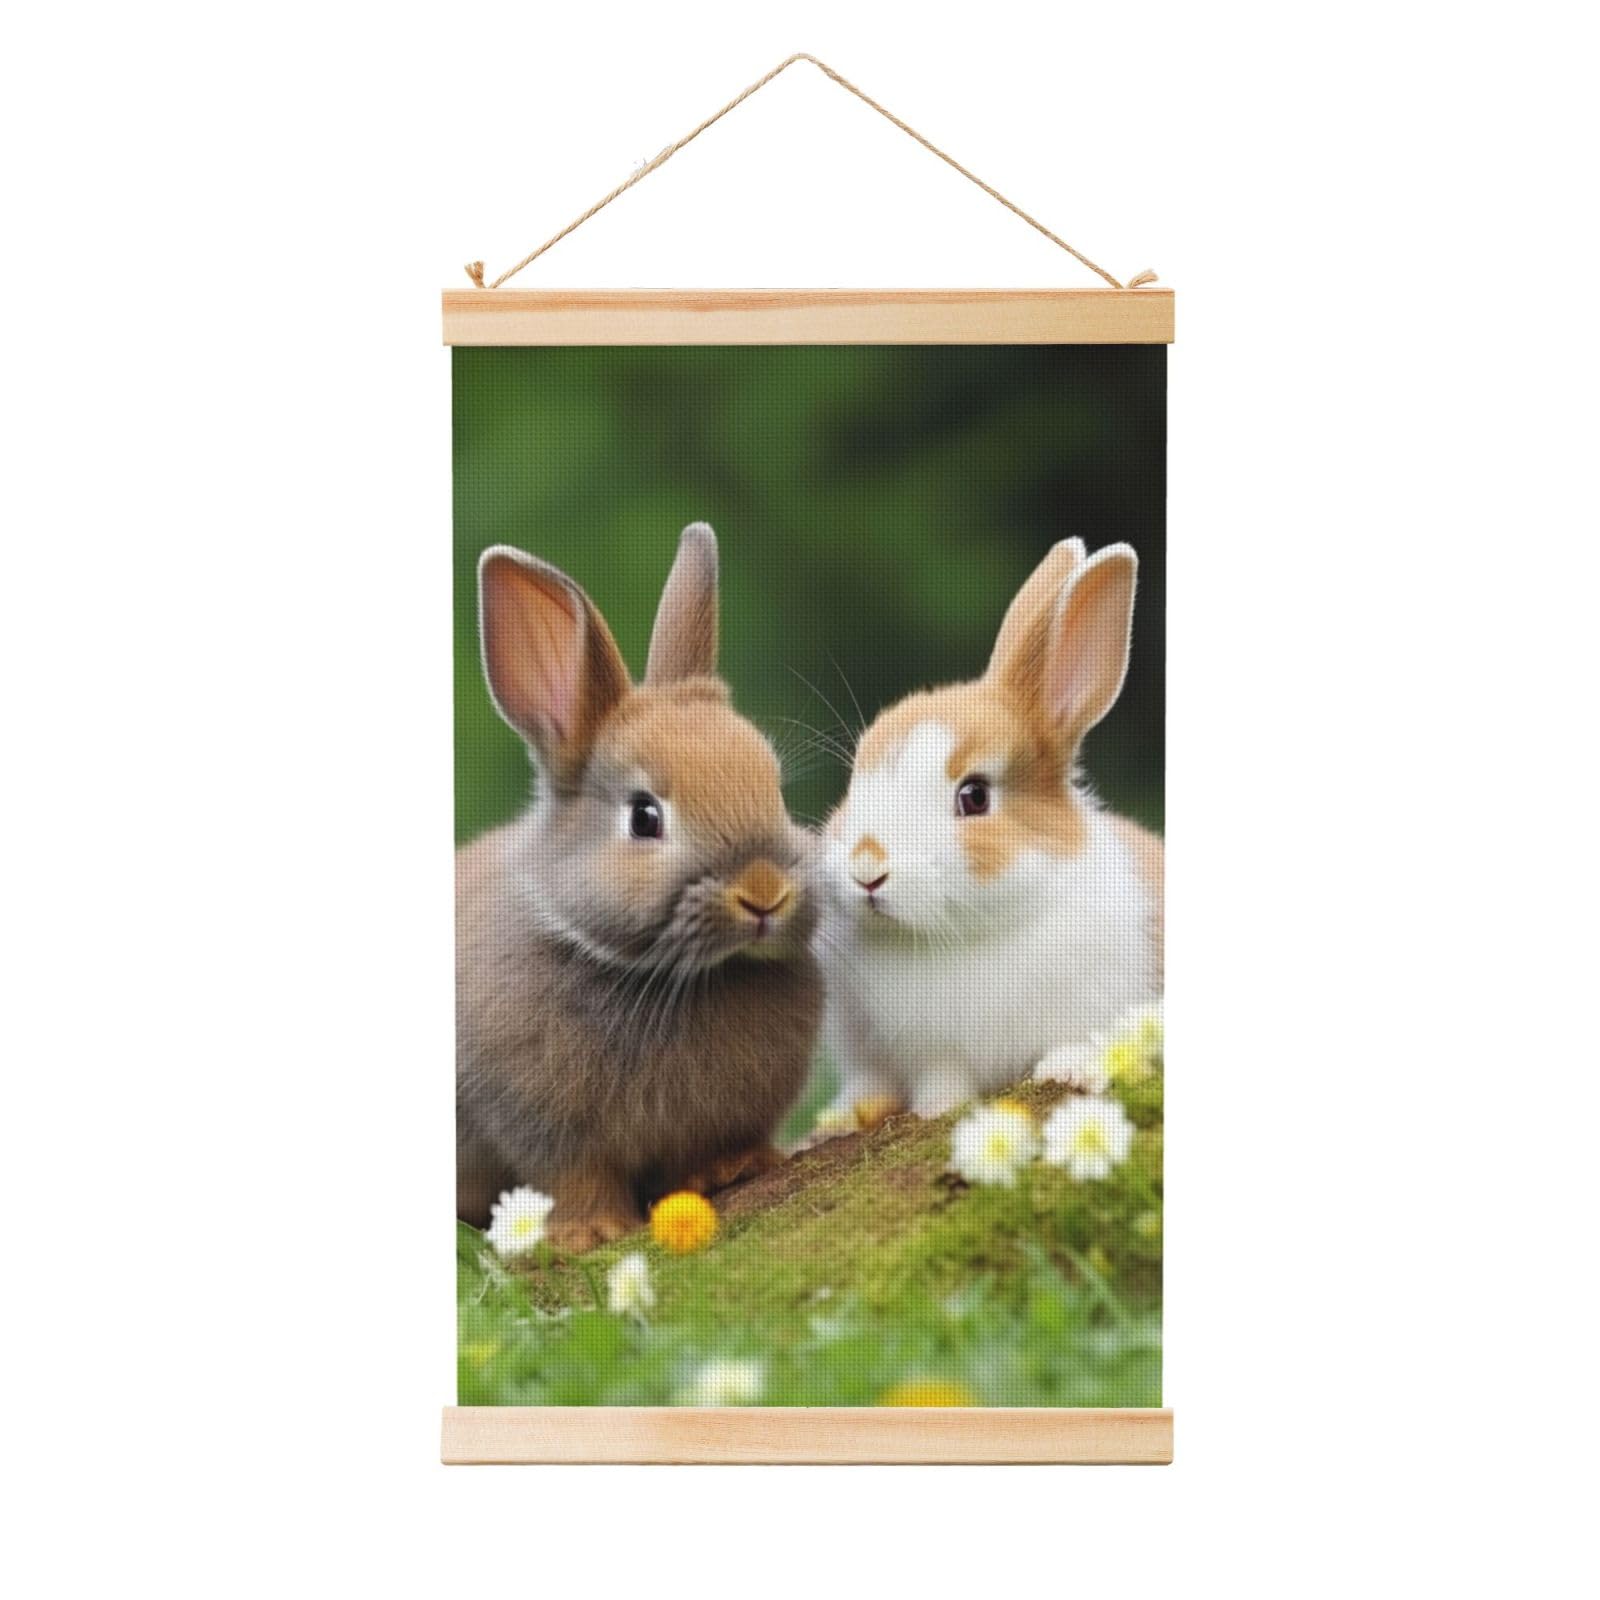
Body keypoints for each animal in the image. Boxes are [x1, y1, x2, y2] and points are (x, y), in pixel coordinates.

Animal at [457, 523, 823, 1250]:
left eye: (774, 788)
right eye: (644, 817)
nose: (764, 892)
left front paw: (734, 1167)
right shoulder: (544, 1129)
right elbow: (575, 1177)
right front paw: (592, 1233)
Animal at [812, 538, 1162, 1131]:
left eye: (974, 796)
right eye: (854, 782)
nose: (867, 868)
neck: (969, 932)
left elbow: (1086, 1042)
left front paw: (1070, 1069)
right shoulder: (931, 1050)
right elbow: (943, 1080)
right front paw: (938, 1107)